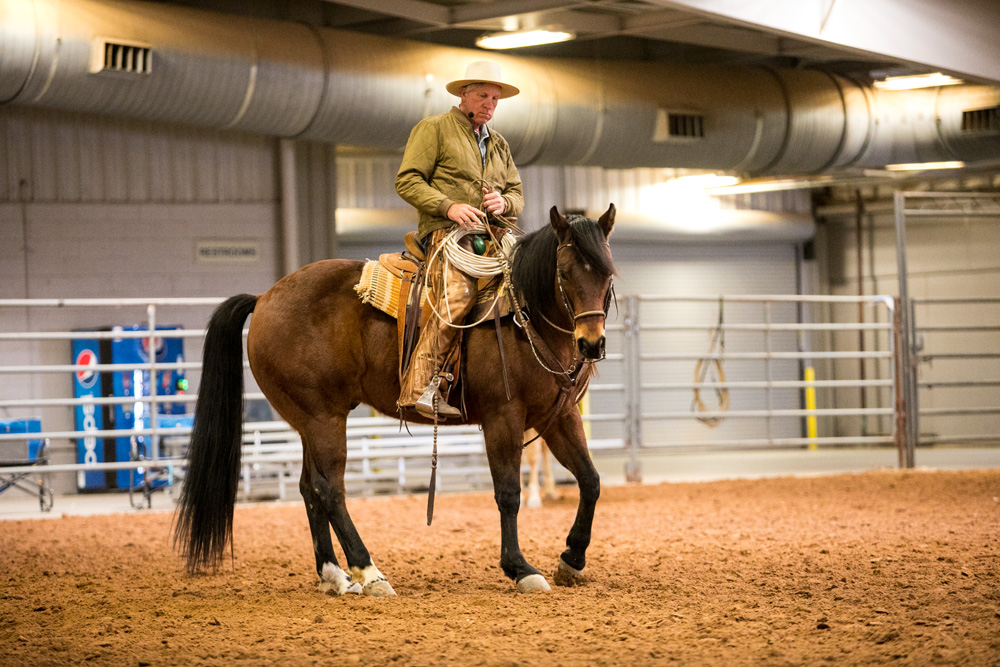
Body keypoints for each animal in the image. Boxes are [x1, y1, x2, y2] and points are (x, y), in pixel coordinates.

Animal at [176, 206, 616, 596]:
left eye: (608, 273)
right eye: (564, 273)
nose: (591, 344)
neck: (524, 315)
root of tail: (264, 296)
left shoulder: (558, 416)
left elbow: (591, 481)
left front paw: (572, 558)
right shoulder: (503, 418)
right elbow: (508, 494)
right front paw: (521, 568)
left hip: (308, 421)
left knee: (308, 489)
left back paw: (335, 576)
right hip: (323, 419)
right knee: (329, 489)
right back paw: (369, 572)